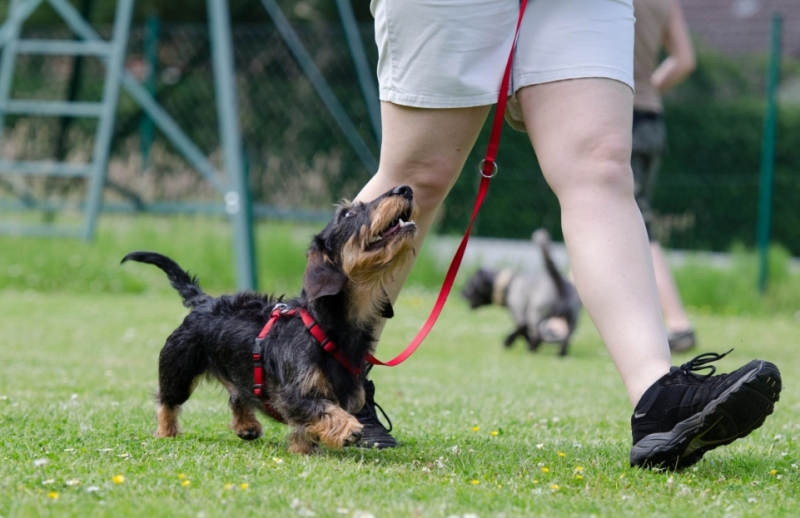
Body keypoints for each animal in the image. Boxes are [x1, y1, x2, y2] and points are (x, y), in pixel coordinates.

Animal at [122, 186, 418, 456]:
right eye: (348, 213)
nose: (404, 189)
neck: (324, 327)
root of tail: (204, 301)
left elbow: (308, 424)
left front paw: (303, 447)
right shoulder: (293, 394)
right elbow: (322, 409)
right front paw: (348, 428)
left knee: (237, 395)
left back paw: (246, 426)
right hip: (178, 369)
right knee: (167, 401)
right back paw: (166, 431)